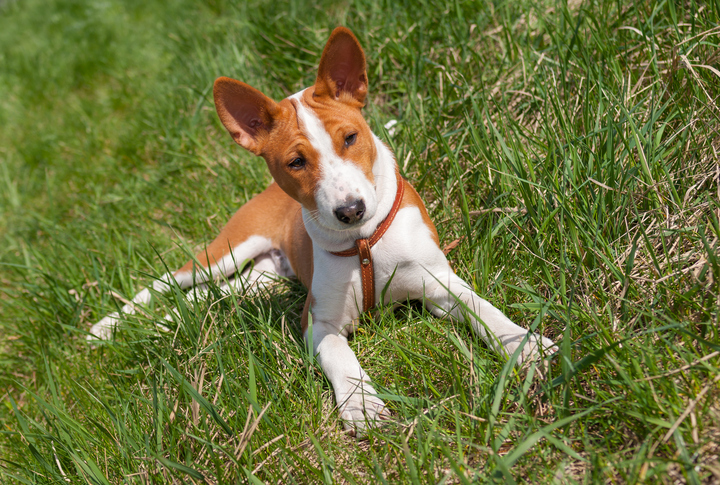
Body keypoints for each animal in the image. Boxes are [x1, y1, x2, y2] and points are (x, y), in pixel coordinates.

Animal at [90, 26, 560, 434]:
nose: (350, 210)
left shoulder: (438, 282)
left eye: (350, 138)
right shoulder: (318, 321)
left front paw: (526, 345)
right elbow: (339, 355)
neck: (365, 244)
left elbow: (484, 309)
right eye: (296, 162)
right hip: (230, 249)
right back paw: (108, 326)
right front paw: (362, 404)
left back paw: (162, 323)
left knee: (204, 296)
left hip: (261, 278)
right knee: (171, 279)